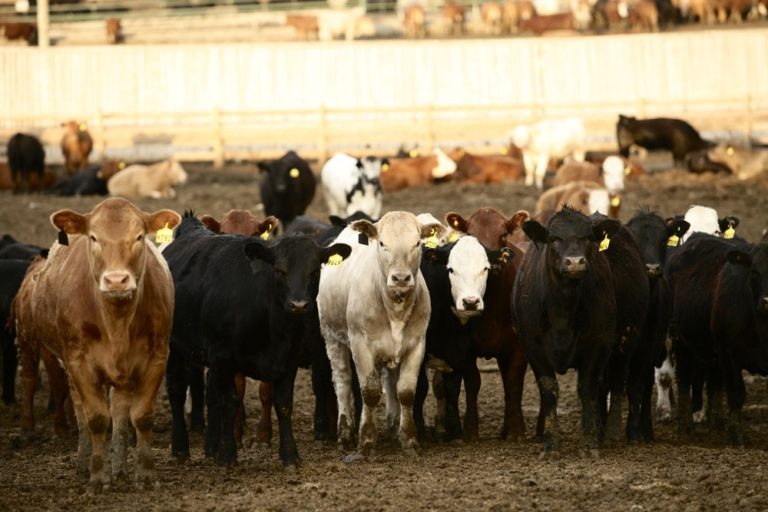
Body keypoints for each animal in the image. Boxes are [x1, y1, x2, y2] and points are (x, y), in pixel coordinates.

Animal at [12, 198, 180, 488]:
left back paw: (120, 467)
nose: (116, 280)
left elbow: (141, 416)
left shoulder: (157, 356)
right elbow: (96, 419)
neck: (117, 322)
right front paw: (99, 475)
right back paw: (85, 462)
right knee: (80, 411)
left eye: (139, 237)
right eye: (93, 237)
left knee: (121, 411)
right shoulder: (78, 361)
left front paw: (145, 473)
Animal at [163, 212, 350, 467]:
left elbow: (283, 403)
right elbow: (229, 401)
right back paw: (181, 447)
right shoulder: (223, 357)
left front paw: (290, 455)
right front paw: (228, 454)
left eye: (314, 271)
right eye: (280, 270)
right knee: (177, 389)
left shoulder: (288, 358)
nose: (298, 305)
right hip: (174, 346)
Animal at [318, 212, 445, 458]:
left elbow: (405, 392)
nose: (401, 278)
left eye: (417, 243)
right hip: (332, 338)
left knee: (390, 381)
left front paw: (409, 439)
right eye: (383, 243)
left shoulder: (416, 344)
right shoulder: (360, 344)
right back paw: (345, 433)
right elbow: (370, 392)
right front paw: (366, 441)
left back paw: (394, 426)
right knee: (343, 382)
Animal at [444, 208, 530, 441]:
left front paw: (517, 430)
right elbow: (473, 382)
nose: (493, 262)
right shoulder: (464, 347)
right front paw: (470, 430)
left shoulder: (518, 345)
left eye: (503, 234)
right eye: (471, 235)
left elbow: (513, 383)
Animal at [513, 207, 621, 456]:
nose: (574, 263)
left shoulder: (598, 342)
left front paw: (588, 443)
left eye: (588, 238)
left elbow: (587, 389)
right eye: (554, 238)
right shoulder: (532, 345)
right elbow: (549, 391)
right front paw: (551, 443)